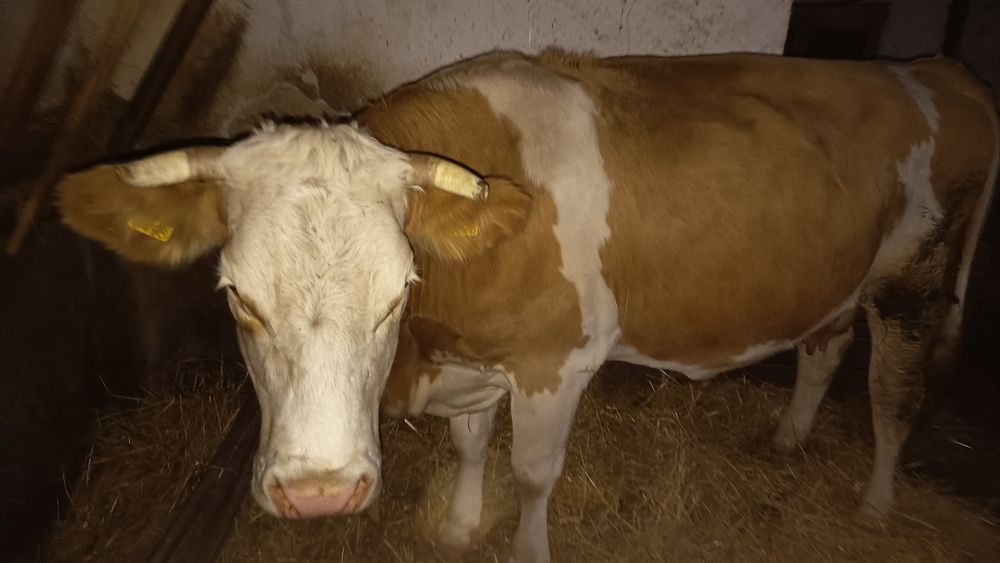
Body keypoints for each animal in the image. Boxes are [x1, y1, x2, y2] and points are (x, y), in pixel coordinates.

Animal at [57, 50, 997, 563]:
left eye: (397, 290)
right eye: (237, 295)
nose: (320, 493)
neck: (437, 342)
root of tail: (935, 71)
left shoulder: (557, 362)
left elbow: (534, 471)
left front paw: (523, 542)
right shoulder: (479, 362)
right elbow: (472, 443)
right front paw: (459, 523)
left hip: (916, 282)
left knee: (893, 391)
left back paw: (875, 502)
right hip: (835, 276)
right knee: (824, 346)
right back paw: (791, 435)